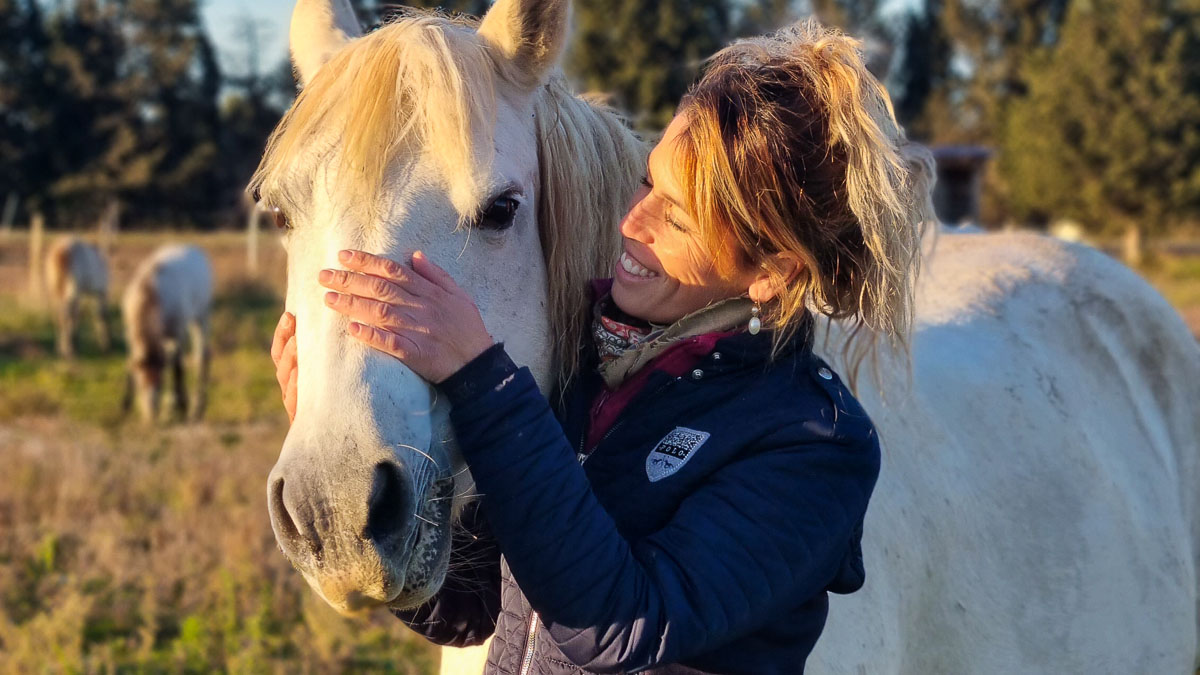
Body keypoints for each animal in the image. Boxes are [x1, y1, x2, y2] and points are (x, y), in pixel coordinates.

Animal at [121, 241, 213, 420]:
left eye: (160, 384)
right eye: (141, 385)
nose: (151, 415)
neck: (149, 295)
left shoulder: (177, 332)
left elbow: (178, 365)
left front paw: (182, 404)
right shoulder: (130, 334)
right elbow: (131, 361)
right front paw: (125, 404)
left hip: (201, 315)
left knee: (201, 355)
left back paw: (198, 406)